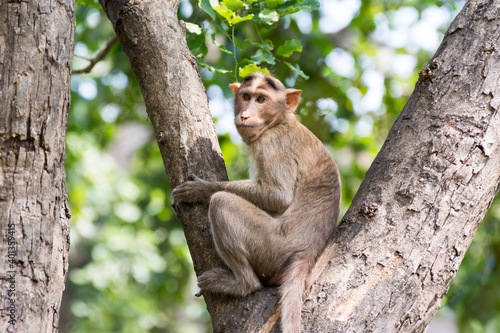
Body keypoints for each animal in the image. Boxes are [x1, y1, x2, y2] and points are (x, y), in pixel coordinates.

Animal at [171, 72, 340, 332]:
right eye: (246, 96)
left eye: (261, 99)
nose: (245, 115)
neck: (279, 122)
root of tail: (307, 252)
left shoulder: (271, 143)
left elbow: (279, 196)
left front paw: (200, 189)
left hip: (271, 246)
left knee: (221, 204)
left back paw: (243, 284)